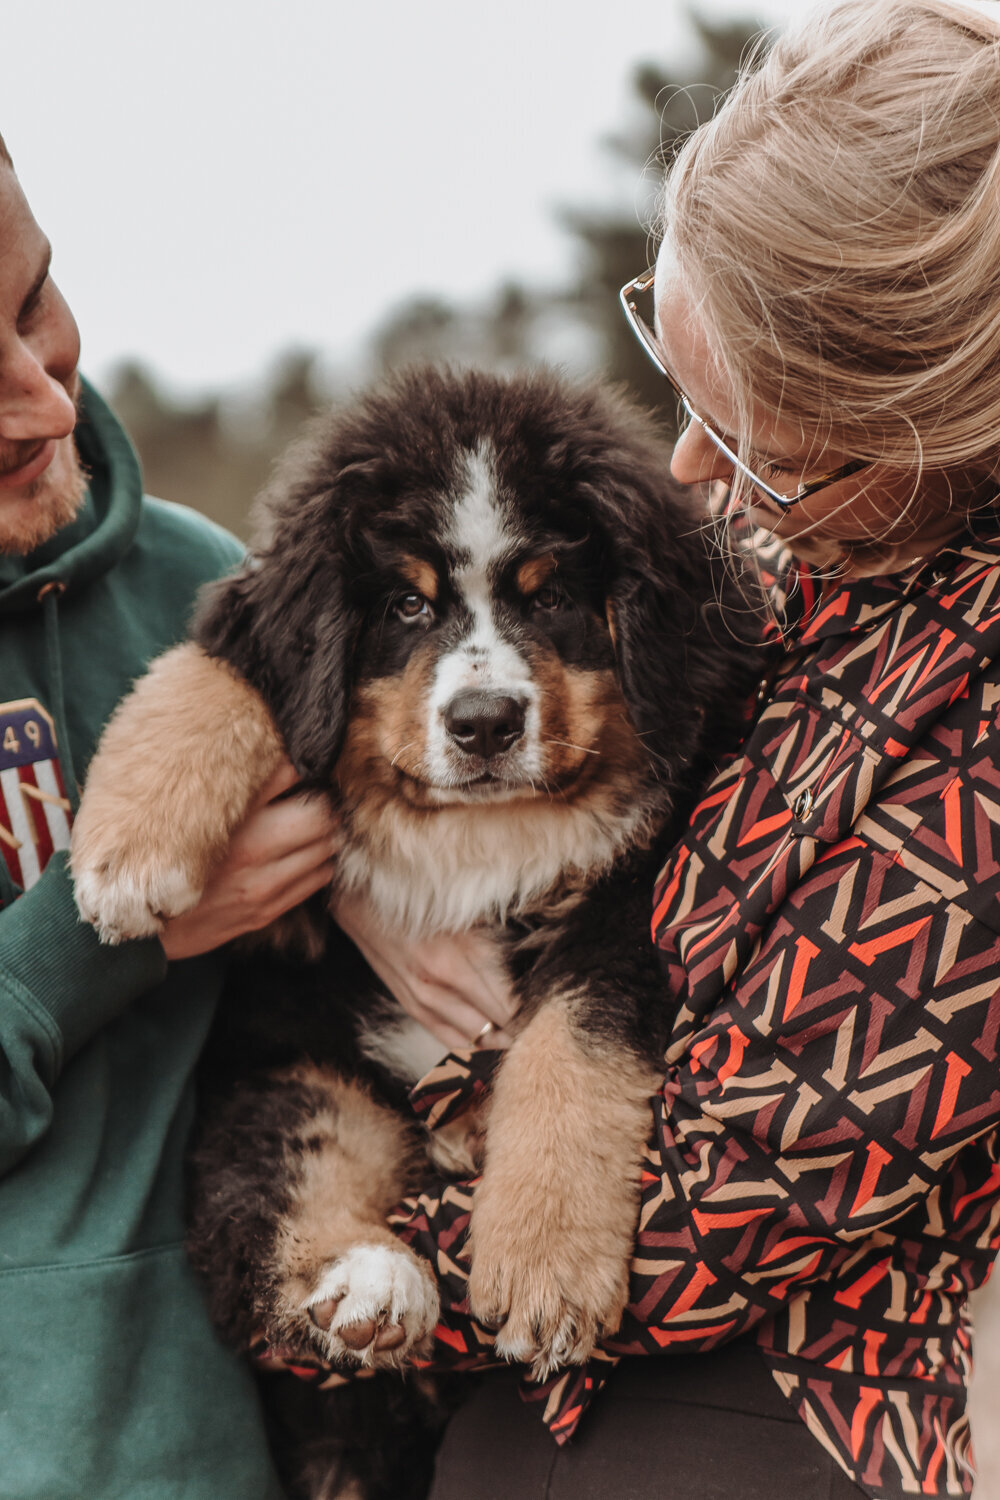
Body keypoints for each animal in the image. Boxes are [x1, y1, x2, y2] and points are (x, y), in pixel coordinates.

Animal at [70, 366, 758, 1500]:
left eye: (550, 597)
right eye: (405, 605)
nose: (483, 724)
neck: (478, 841)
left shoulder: (636, 901)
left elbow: (571, 1044)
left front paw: (543, 1261)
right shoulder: (291, 970)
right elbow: (227, 667)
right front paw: (128, 846)